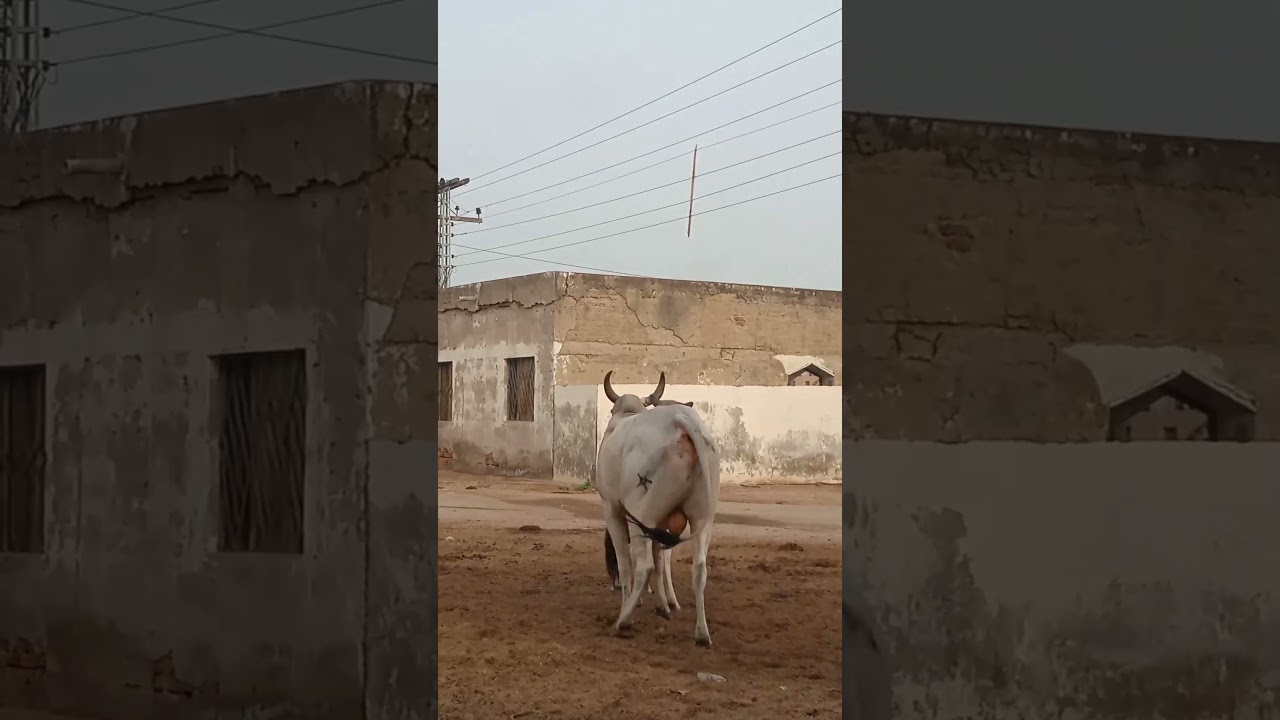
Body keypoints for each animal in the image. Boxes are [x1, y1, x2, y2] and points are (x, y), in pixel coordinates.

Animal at [595, 370, 720, 646]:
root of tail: (680, 421)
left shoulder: (613, 510)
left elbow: (626, 564)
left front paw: (631, 605)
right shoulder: (660, 525)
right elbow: (662, 560)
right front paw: (663, 606)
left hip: (640, 517)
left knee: (643, 567)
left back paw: (623, 622)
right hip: (702, 518)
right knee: (699, 568)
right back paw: (702, 633)